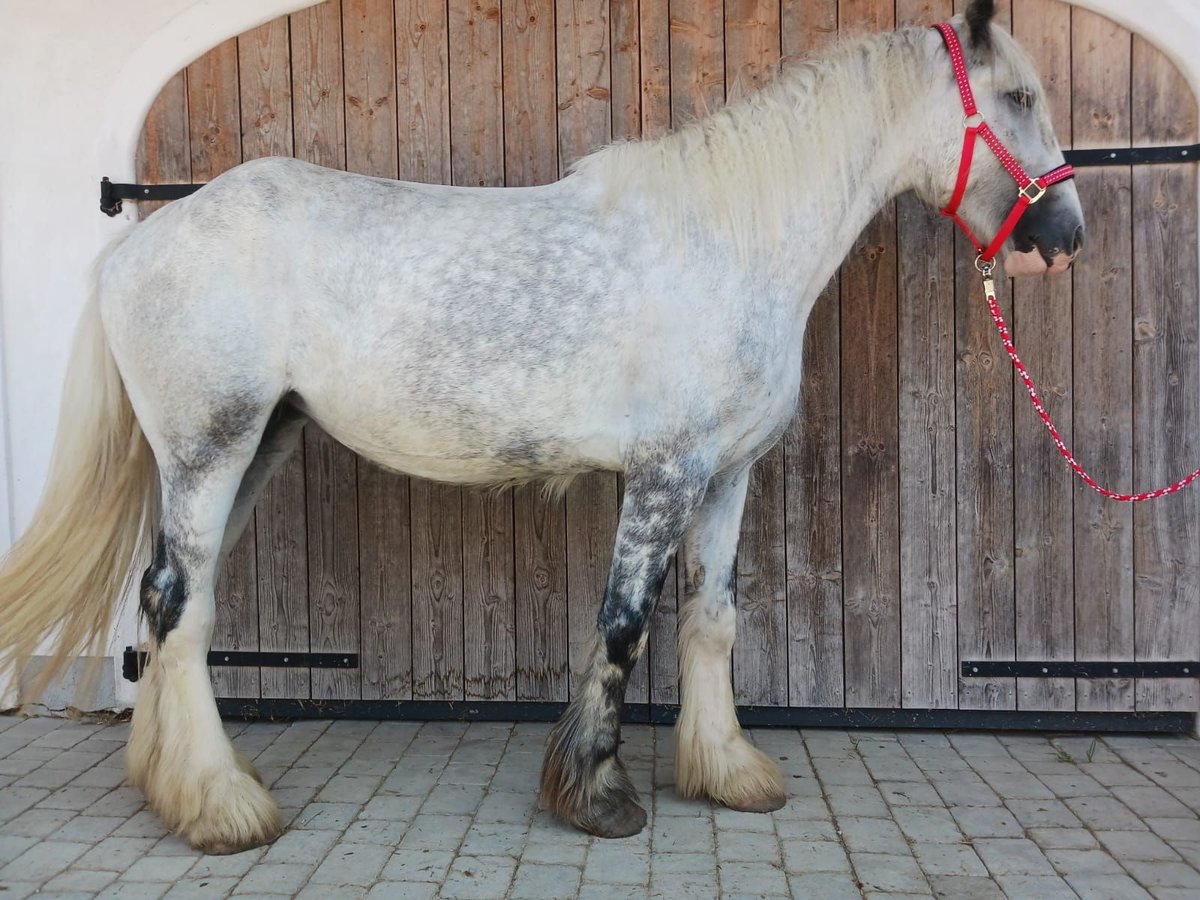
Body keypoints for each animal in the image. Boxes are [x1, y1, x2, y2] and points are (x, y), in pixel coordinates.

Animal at [0, 0, 1083, 852]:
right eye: (1019, 99)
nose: (1064, 237)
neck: (728, 241)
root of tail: (138, 248)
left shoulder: (726, 475)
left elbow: (712, 618)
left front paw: (728, 773)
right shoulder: (664, 473)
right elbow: (623, 623)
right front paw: (598, 797)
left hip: (256, 445)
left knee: (168, 605)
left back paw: (177, 787)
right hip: (209, 449)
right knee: (180, 607)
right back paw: (224, 809)